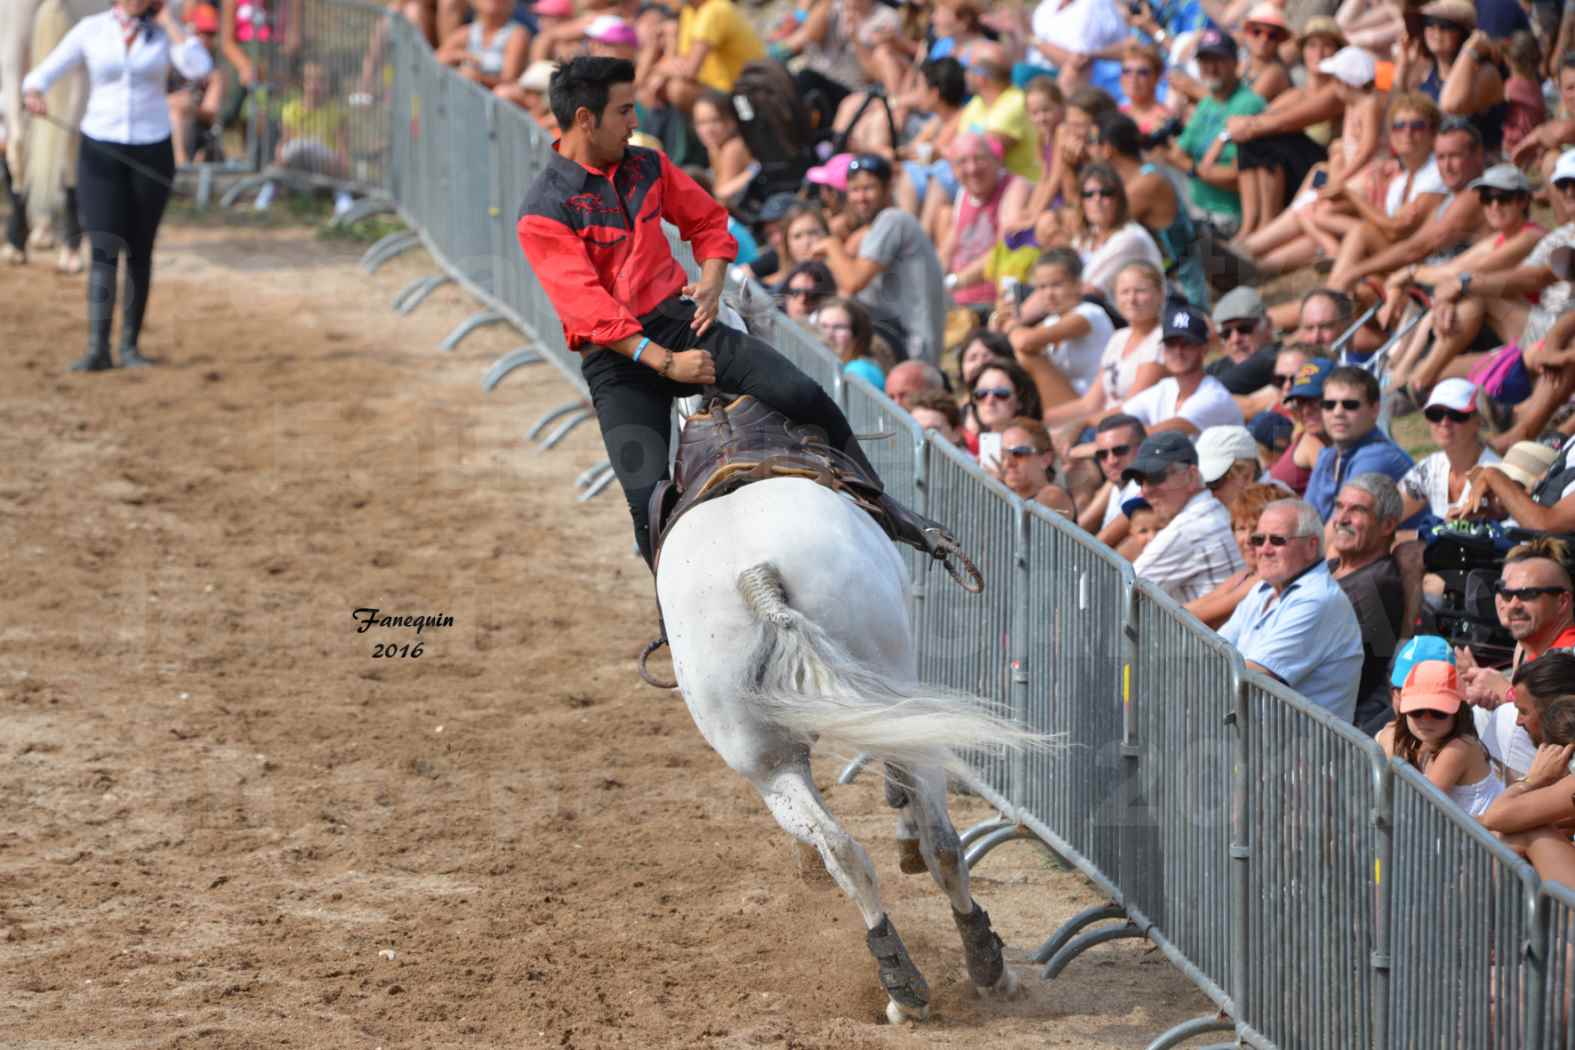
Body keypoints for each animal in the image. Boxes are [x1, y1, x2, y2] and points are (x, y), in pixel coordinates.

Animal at [658, 481, 1039, 1020]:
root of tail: (757, 575)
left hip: (771, 756)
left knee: (860, 843)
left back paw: (917, 977)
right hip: (862, 716)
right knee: (928, 843)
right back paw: (960, 972)